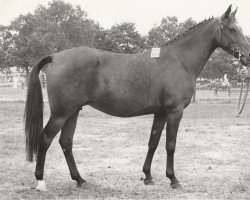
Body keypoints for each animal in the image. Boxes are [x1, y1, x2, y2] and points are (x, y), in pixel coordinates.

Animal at [24, 5, 250, 191]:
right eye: (232, 29)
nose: (248, 57)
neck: (179, 60)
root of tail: (56, 56)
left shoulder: (160, 113)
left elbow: (153, 142)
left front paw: (148, 176)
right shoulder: (174, 112)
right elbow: (170, 145)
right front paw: (173, 180)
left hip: (73, 112)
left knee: (66, 142)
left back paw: (79, 180)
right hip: (61, 113)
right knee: (46, 139)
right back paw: (40, 181)